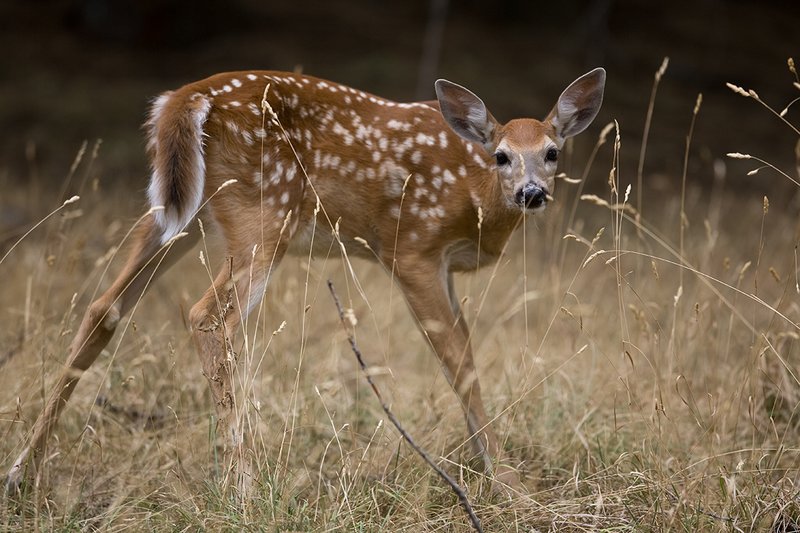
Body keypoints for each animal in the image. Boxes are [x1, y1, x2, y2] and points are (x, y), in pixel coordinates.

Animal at [6, 67, 605, 493]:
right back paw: (244, 488)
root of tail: (183, 100)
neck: (473, 201)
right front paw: (505, 483)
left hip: (177, 213)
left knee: (103, 307)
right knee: (206, 316)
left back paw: (20, 471)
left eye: (552, 152)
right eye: (501, 156)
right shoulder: (411, 249)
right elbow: (460, 363)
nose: (532, 192)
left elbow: (465, 355)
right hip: (264, 209)